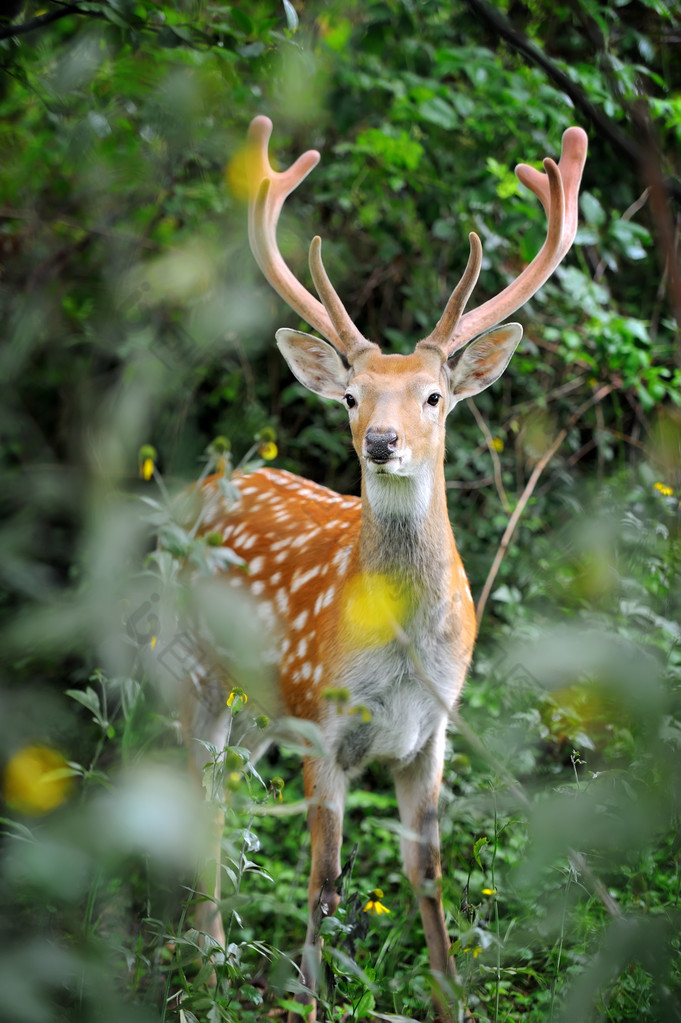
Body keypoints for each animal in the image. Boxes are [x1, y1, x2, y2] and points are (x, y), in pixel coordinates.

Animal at [178, 116, 584, 1018]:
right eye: (350, 395)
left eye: (434, 395)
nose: (381, 441)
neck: (400, 656)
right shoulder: (323, 727)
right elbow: (324, 884)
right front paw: (310, 1001)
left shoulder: (430, 735)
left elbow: (425, 873)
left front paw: (451, 1000)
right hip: (186, 667)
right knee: (188, 789)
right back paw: (205, 966)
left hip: (256, 707)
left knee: (219, 795)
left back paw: (215, 958)